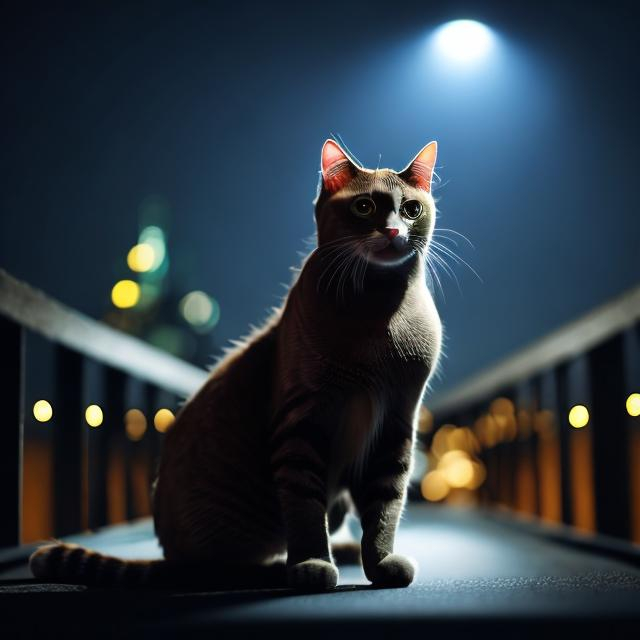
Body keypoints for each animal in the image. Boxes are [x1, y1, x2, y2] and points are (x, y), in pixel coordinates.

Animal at [30, 138, 440, 592]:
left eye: (411, 210)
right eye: (364, 207)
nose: (393, 231)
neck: (378, 310)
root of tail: (173, 558)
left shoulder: (396, 424)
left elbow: (385, 507)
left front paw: (380, 561)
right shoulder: (301, 422)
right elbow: (304, 509)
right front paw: (312, 564)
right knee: (230, 565)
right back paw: (279, 567)